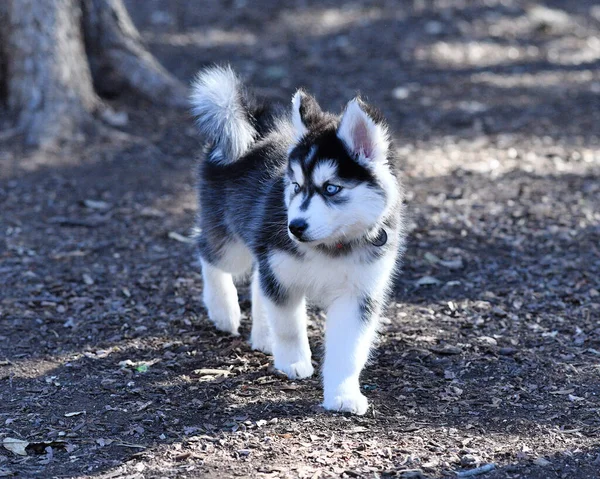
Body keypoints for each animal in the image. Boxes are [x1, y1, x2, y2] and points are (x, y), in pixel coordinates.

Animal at [191, 65, 408, 414]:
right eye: (295, 186)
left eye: (331, 188)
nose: (294, 227)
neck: (331, 247)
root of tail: (254, 123)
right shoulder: (284, 277)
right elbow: (289, 326)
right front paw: (293, 361)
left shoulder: (359, 294)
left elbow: (348, 349)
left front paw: (343, 394)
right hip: (232, 243)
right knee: (209, 253)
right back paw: (224, 310)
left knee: (257, 279)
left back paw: (262, 335)